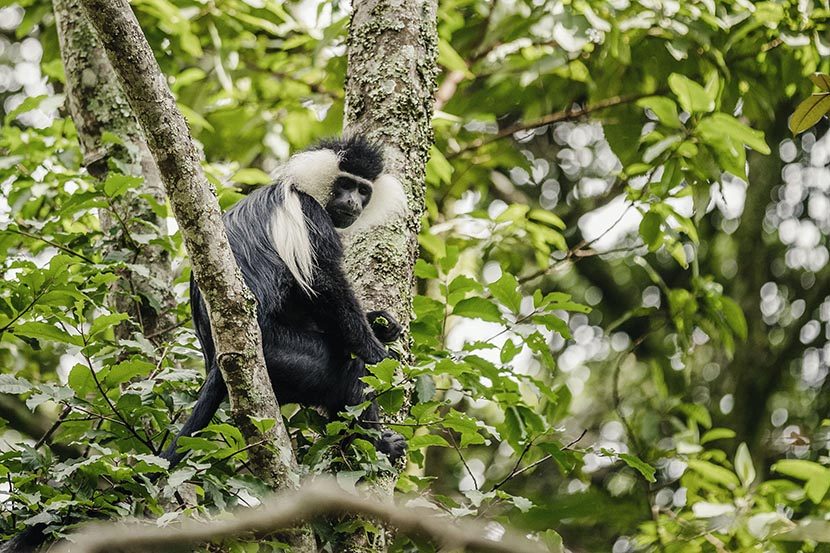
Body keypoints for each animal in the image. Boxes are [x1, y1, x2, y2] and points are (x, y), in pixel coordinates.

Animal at [161, 136, 409, 468]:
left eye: (363, 190)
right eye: (345, 185)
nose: (353, 203)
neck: (305, 188)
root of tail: (216, 360)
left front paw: (382, 323)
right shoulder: (310, 216)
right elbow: (324, 284)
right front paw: (376, 351)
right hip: (282, 355)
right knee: (348, 371)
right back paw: (376, 442)